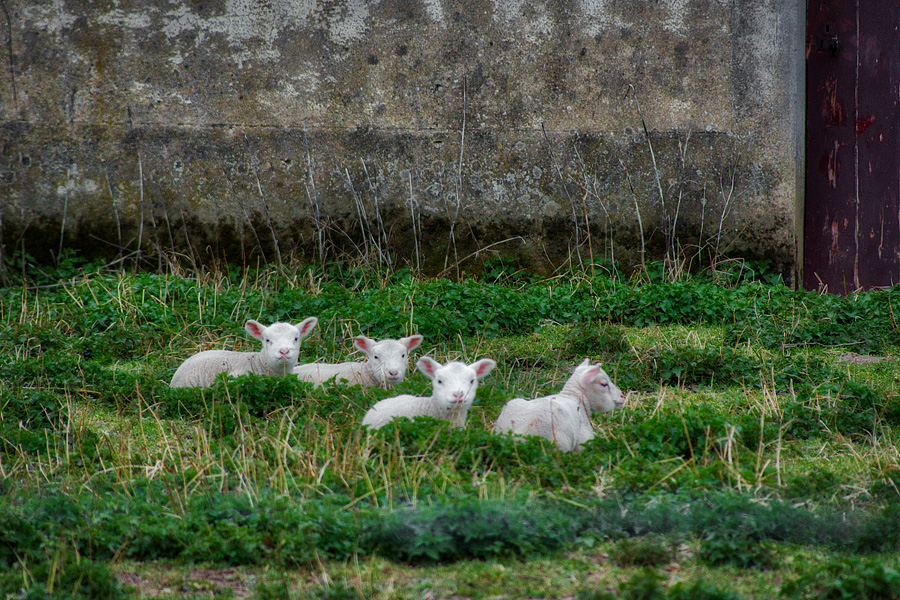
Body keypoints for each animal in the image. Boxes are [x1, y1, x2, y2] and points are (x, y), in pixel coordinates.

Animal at [493, 359, 625, 452]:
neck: (574, 397)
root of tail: (519, 437)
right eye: (603, 384)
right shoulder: (583, 438)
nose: (622, 396)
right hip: (560, 443)